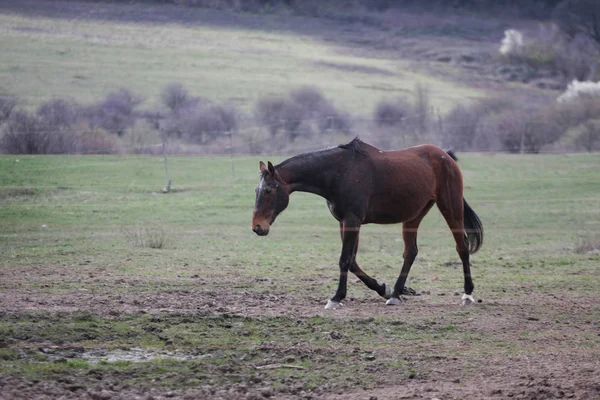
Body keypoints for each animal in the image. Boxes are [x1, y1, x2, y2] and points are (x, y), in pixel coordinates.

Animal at [252, 138, 482, 310]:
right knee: (411, 252)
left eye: (269, 190)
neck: (340, 172)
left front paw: (336, 298)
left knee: (462, 247)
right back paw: (396, 294)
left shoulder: (352, 220)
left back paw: (467, 294)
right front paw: (383, 289)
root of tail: (446, 156)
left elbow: (345, 259)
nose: (257, 227)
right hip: (414, 215)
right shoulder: (344, 222)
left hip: (450, 207)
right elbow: (352, 261)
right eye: (257, 190)